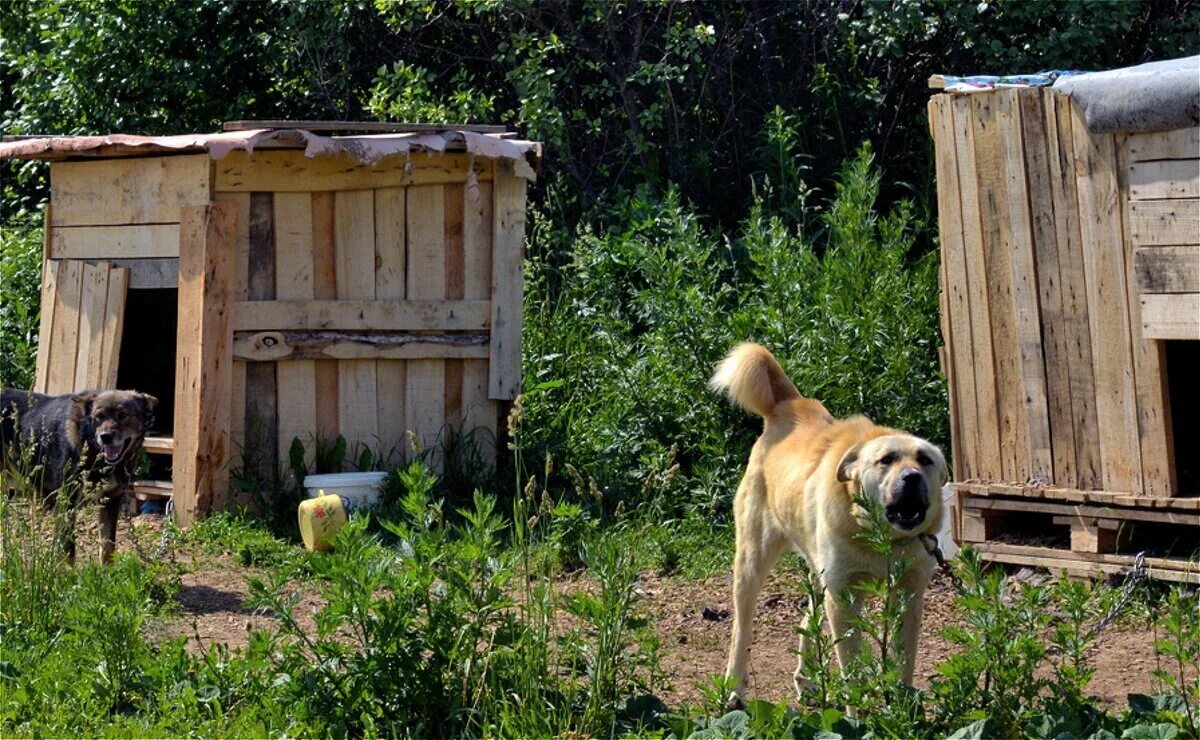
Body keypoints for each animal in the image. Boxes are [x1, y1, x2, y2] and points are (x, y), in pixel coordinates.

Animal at [1, 386, 158, 558]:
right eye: (99, 417)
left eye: (122, 415)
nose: (105, 437)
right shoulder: (67, 500)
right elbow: (68, 549)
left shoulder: (110, 499)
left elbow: (107, 548)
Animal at [710, 340, 945, 700]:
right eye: (886, 460)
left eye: (925, 460)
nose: (912, 477)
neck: (879, 539)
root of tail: (789, 404)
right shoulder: (844, 598)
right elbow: (854, 669)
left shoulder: (908, 595)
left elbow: (903, 661)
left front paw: (901, 704)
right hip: (752, 565)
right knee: (741, 629)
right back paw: (734, 689)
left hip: (819, 574)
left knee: (809, 619)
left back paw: (805, 679)